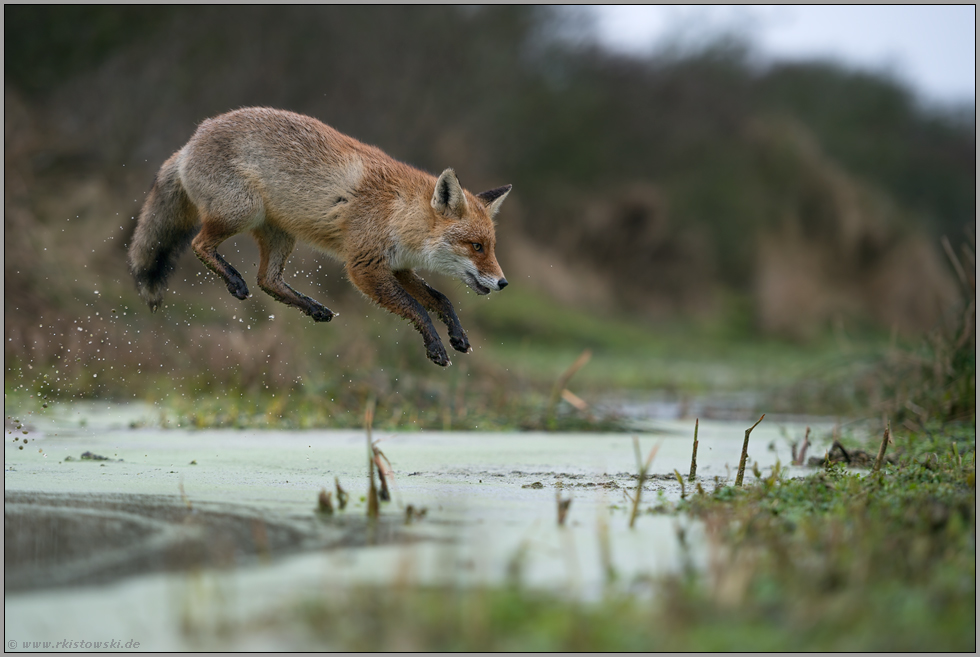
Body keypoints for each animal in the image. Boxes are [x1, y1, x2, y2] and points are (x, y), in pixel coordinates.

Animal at [128, 105, 512, 366]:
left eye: (490, 247)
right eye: (476, 246)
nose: (503, 283)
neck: (397, 212)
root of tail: (190, 142)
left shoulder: (398, 267)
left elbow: (441, 299)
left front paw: (458, 336)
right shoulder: (364, 267)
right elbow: (418, 307)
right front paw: (435, 347)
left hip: (280, 235)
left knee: (267, 280)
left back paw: (314, 309)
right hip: (241, 211)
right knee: (200, 245)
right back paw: (235, 281)